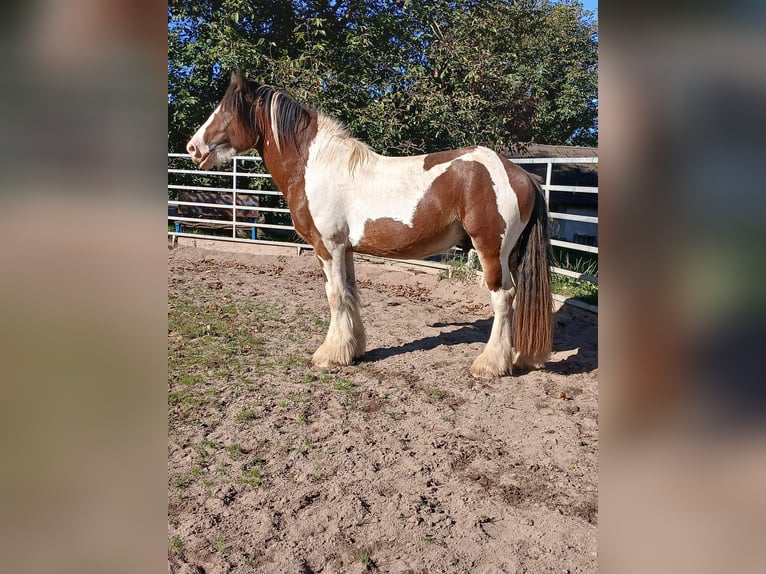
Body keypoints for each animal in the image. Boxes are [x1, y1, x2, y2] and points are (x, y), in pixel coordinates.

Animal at [189, 71, 556, 378]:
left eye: (226, 111)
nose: (193, 148)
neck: (316, 166)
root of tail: (520, 174)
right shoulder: (346, 249)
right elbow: (350, 293)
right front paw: (352, 350)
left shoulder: (328, 247)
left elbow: (335, 295)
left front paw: (329, 355)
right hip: (510, 255)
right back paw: (520, 356)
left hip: (491, 251)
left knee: (503, 297)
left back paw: (489, 364)